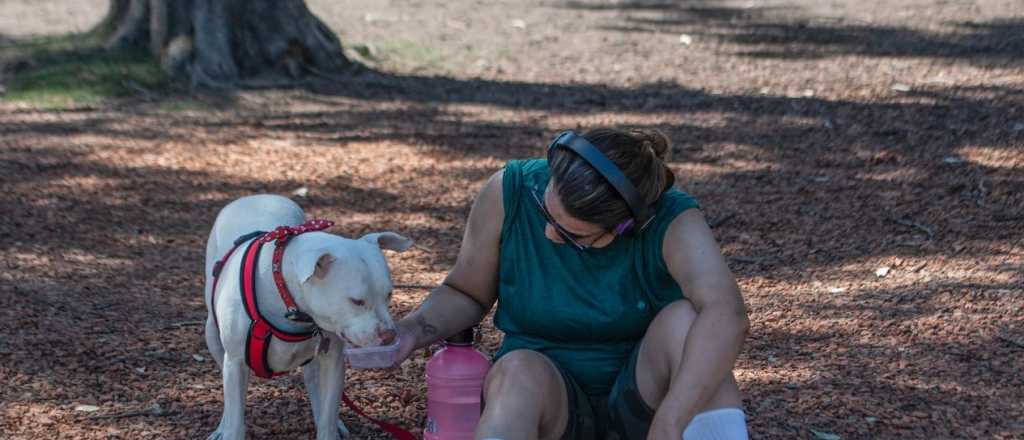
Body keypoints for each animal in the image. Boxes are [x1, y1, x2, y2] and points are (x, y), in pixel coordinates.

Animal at [201, 195, 409, 440]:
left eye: (389, 294)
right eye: (356, 301)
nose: (389, 335)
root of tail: (255, 197)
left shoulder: (332, 360)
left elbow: (328, 417)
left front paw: (329, 426)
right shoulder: (235, 363)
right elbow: (235, 422)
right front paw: (228, 428)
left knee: (314, 384)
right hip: (213, 337)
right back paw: (221, 427)